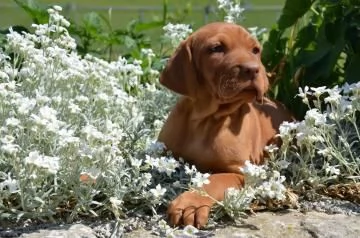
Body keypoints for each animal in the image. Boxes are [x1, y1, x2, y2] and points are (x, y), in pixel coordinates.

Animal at [158, 22, 292, 229]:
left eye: (255, 50)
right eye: (217, 48)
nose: (253, 70)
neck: (206, 118)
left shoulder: (241, 171)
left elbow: (212, 181)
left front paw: (191, 203)